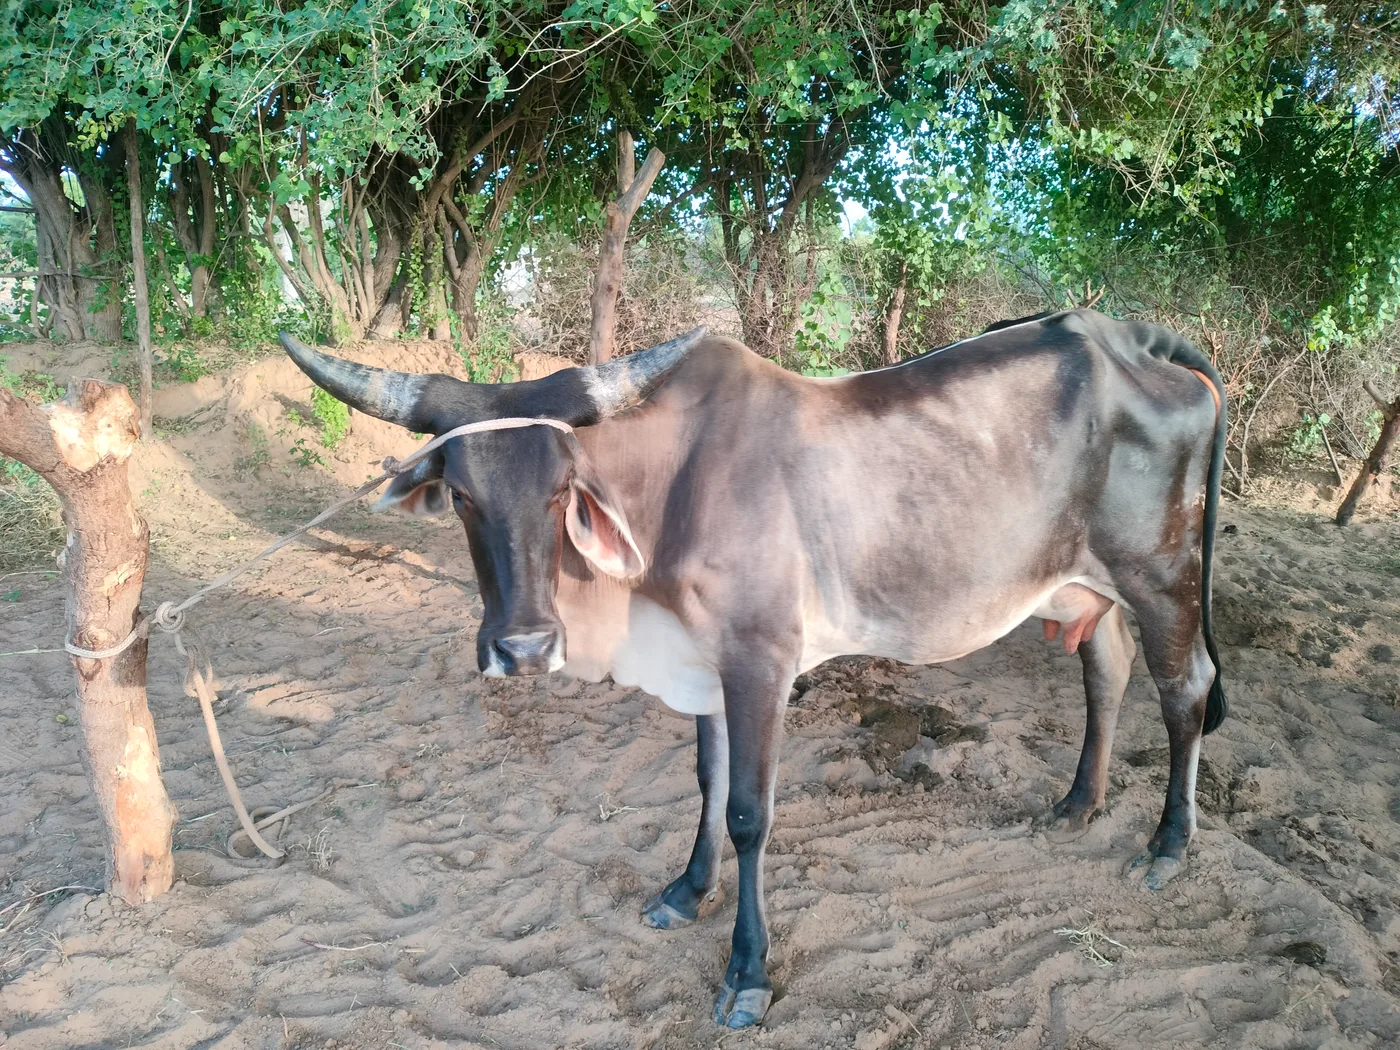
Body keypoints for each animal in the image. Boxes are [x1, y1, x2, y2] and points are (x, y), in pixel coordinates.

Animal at [279, 308, 1227, 1029]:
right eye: (464, 496)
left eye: (558, 491)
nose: (523, 648)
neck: (670, 489)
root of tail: (1132, 341)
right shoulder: (704, 661)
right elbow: (706, 780)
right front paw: (686, 889)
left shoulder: (762, 659)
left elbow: (746, 811)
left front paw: (747, 971)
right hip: (1080, 586)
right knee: (1106, 669)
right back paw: (1077, 804)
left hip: (1161, 575)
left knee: (1185, 689)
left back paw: (1167, 845)